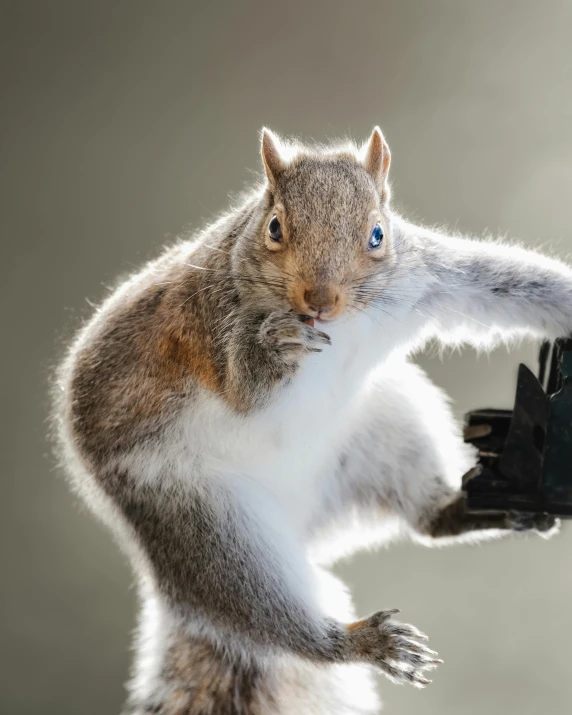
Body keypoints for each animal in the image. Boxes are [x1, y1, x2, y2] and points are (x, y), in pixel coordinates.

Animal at [54, 129, 568, 715]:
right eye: (275, 227)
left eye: (377, 233)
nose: (319, 300)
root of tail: (299, 520)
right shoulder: (205, 329)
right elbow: (245, 389)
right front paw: (276, 345)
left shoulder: (425, 280)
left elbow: (508, 286)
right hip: (204, 524)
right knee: (267, 612)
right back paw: (356, 641)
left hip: (384, 433)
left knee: (428, 520)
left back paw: (489, 505)